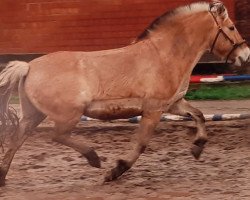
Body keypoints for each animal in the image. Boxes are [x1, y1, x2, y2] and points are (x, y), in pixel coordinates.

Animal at [0, 0, 250, 185]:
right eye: (231, 28)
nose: (245, 55)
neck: (164, 56)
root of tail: (28, 66)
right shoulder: (153, 110)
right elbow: (141, 144)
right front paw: (116, 170)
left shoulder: (174, 104)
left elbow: (198, 115)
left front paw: (198, 147)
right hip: (68, 114)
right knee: (57, 135)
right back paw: (94, 158)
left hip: (34, 114)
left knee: (18, 139)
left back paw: (3, 177)